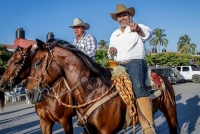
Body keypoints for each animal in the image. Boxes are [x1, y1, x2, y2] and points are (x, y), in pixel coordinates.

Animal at [25, 38, 180, 133]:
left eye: (37, 62)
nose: (30, 94)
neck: (92, 91)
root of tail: (163, 78)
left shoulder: (103, 130)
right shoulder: (87, 129)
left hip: (170, 111)